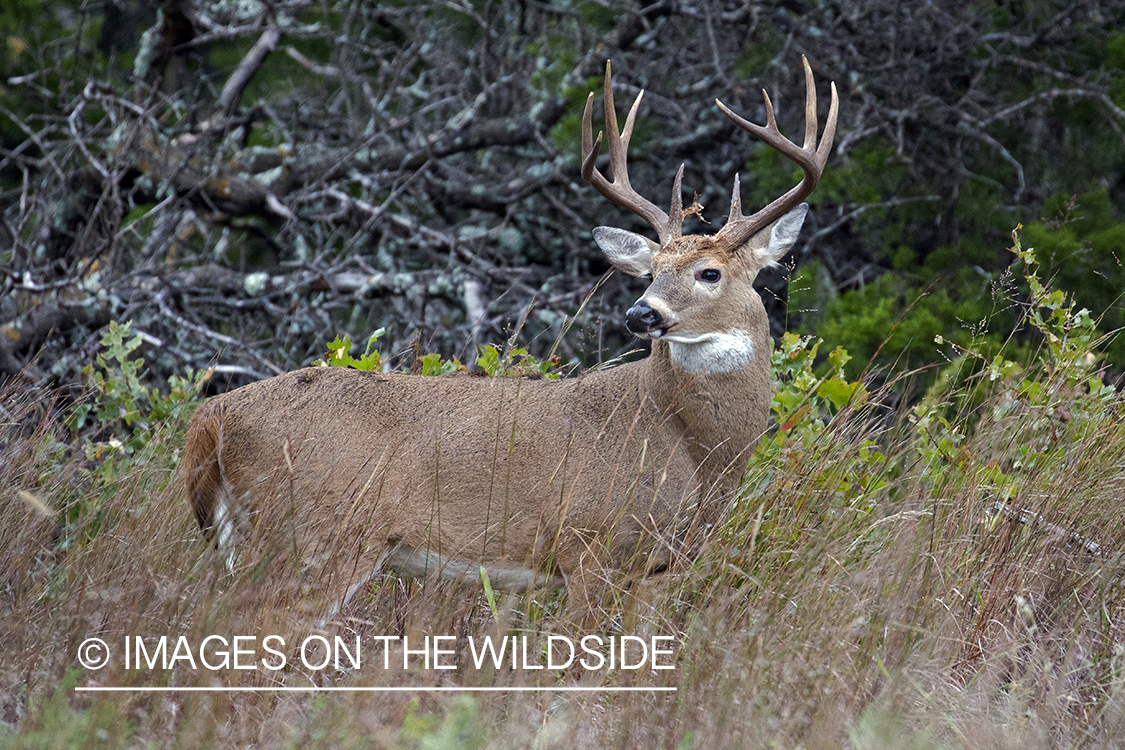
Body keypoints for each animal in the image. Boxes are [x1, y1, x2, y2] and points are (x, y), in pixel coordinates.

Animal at [182, 54, 837, 616]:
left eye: (710, 272)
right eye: (651, 271)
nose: (640, 314)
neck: (688, 446)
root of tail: (212, 417)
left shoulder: (658, 569)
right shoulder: (589, 547)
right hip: (314, 534)